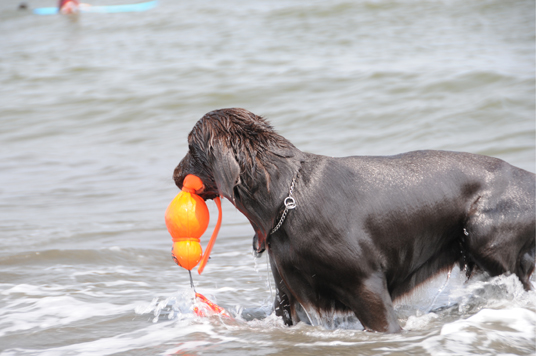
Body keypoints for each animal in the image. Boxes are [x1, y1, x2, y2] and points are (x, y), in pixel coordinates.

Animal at [174, 107, 532, 332]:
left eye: (191, 147)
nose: (175, 176)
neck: (287, 196)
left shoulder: (368, 288)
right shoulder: (287, 291)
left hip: (485, 237)